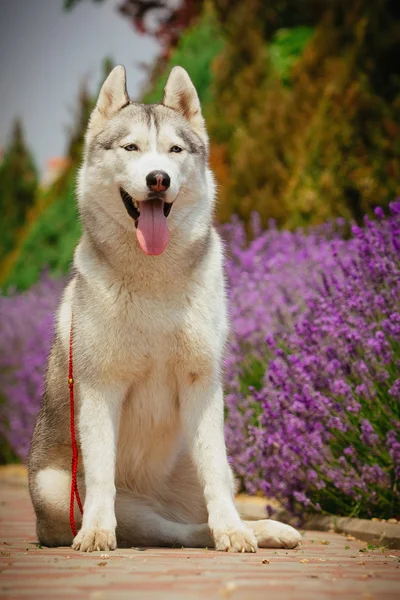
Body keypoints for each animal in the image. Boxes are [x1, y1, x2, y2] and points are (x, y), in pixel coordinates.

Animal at [28, 65, 300, 552]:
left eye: (175, 150)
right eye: (131, 147)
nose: (159, 178)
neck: (153, 279)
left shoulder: (201, 381)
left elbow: (216, 478)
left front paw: (234, 531)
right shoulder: (100, 387)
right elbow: (101, 477)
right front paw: (96, 531)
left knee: (202, 510)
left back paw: (256, 529)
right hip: (58, 488)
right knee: (168, 529)